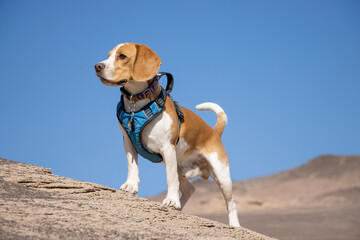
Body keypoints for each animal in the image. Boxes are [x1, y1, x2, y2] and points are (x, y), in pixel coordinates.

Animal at [94, 43, 240, 227]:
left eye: (122, 56)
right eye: (108, 55)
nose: (97, 66)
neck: (137, 104)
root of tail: (214, 132)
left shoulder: (167, 148)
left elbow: (170, 179)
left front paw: (171, 200)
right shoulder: (128, 142)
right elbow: (132, 167)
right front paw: (131, 185)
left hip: (222, 175)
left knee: (231, 203)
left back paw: (234, 225)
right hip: (182, 168)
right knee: (190, 189)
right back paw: (180, 207)